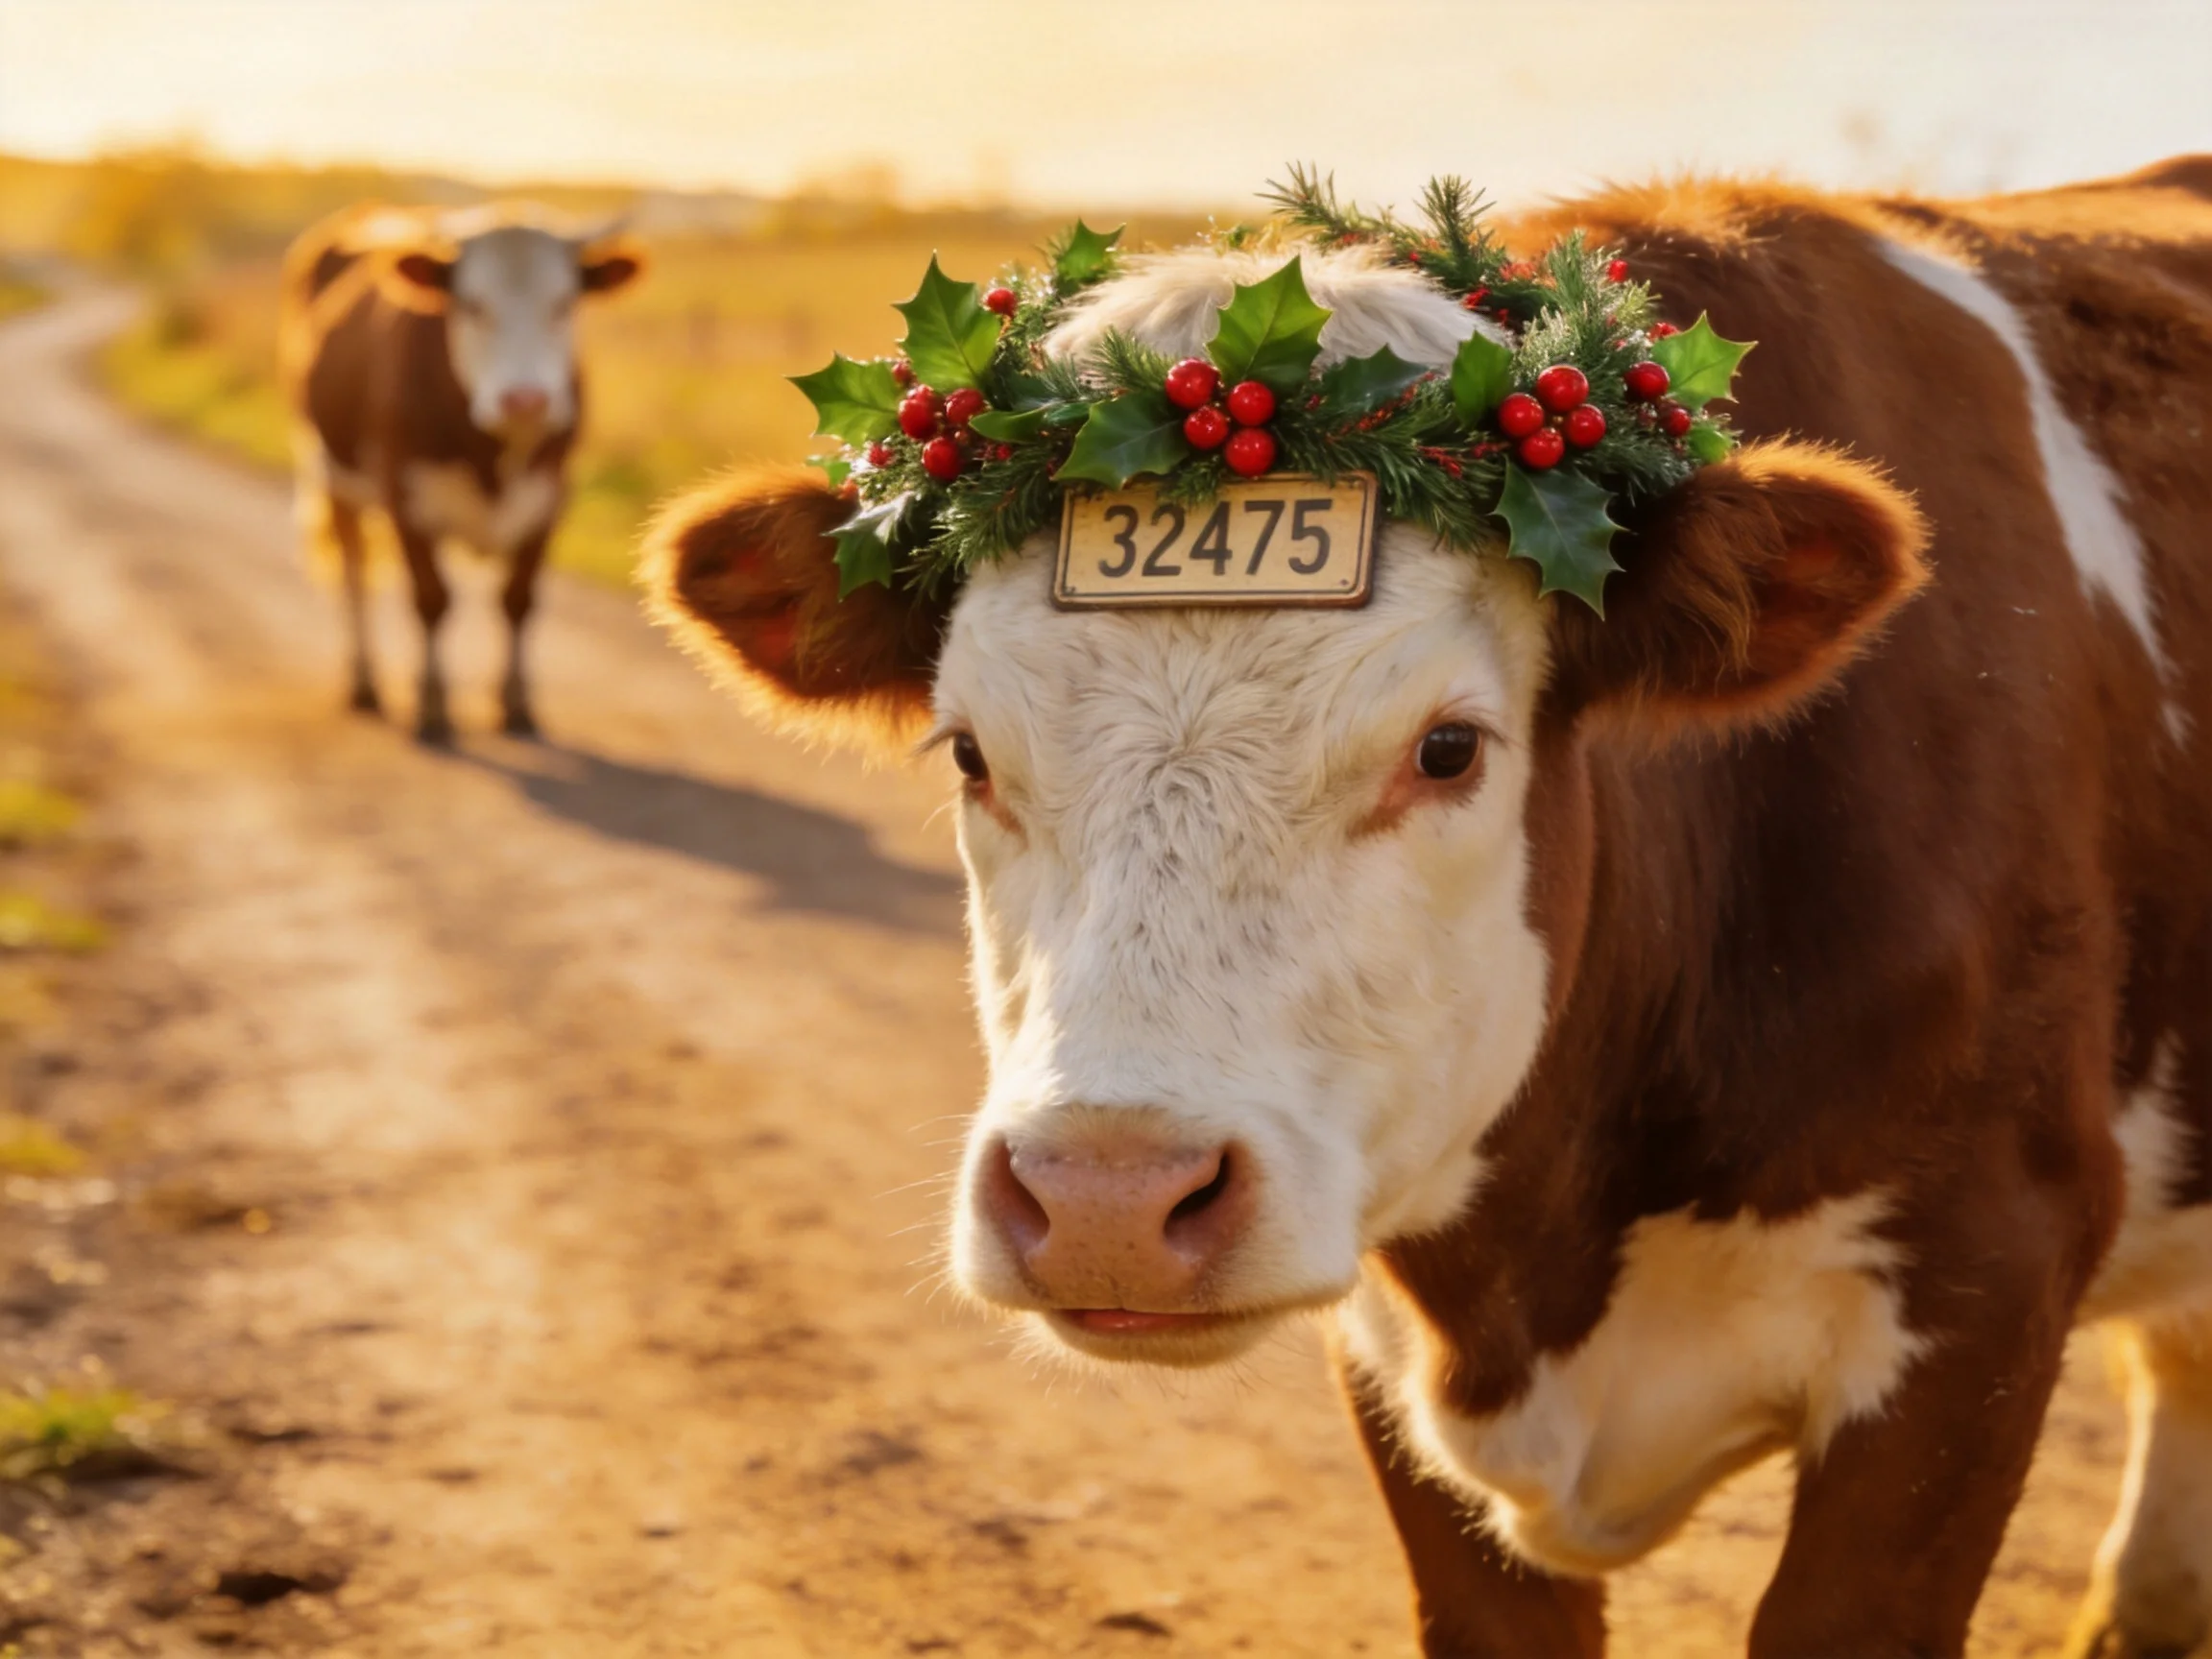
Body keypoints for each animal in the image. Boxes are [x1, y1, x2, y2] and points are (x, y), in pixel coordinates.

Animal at [278, 203, 643, 742]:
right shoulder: (404, 496)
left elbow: (518, 599)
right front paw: (432, 704)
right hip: (330, 472)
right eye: (471, 304)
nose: (526, 401)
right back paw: (365, 683)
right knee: (355, 573)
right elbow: (432, 599)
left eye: (563, 303)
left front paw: (515, 702)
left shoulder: (551, 498)